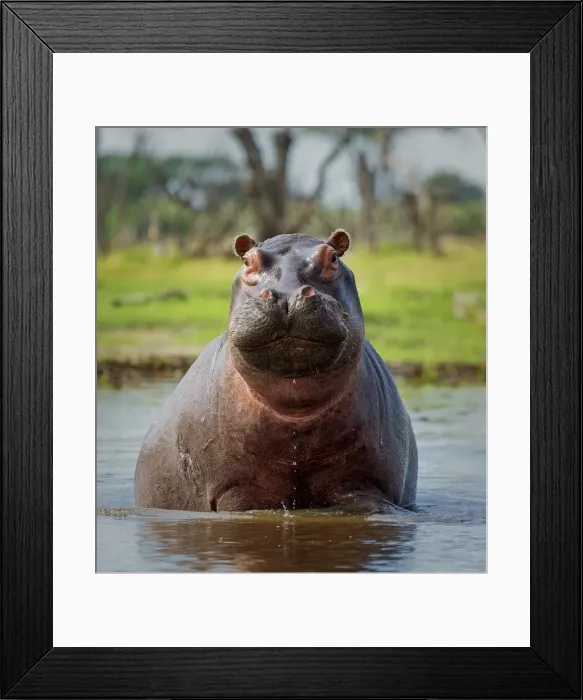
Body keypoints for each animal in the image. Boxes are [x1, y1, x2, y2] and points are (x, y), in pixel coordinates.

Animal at [135, 230, 417, 514]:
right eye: (247, 261)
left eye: (334, 258)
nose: (286, 295)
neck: (294, 410)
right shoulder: (236, 489)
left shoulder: (364, 484)